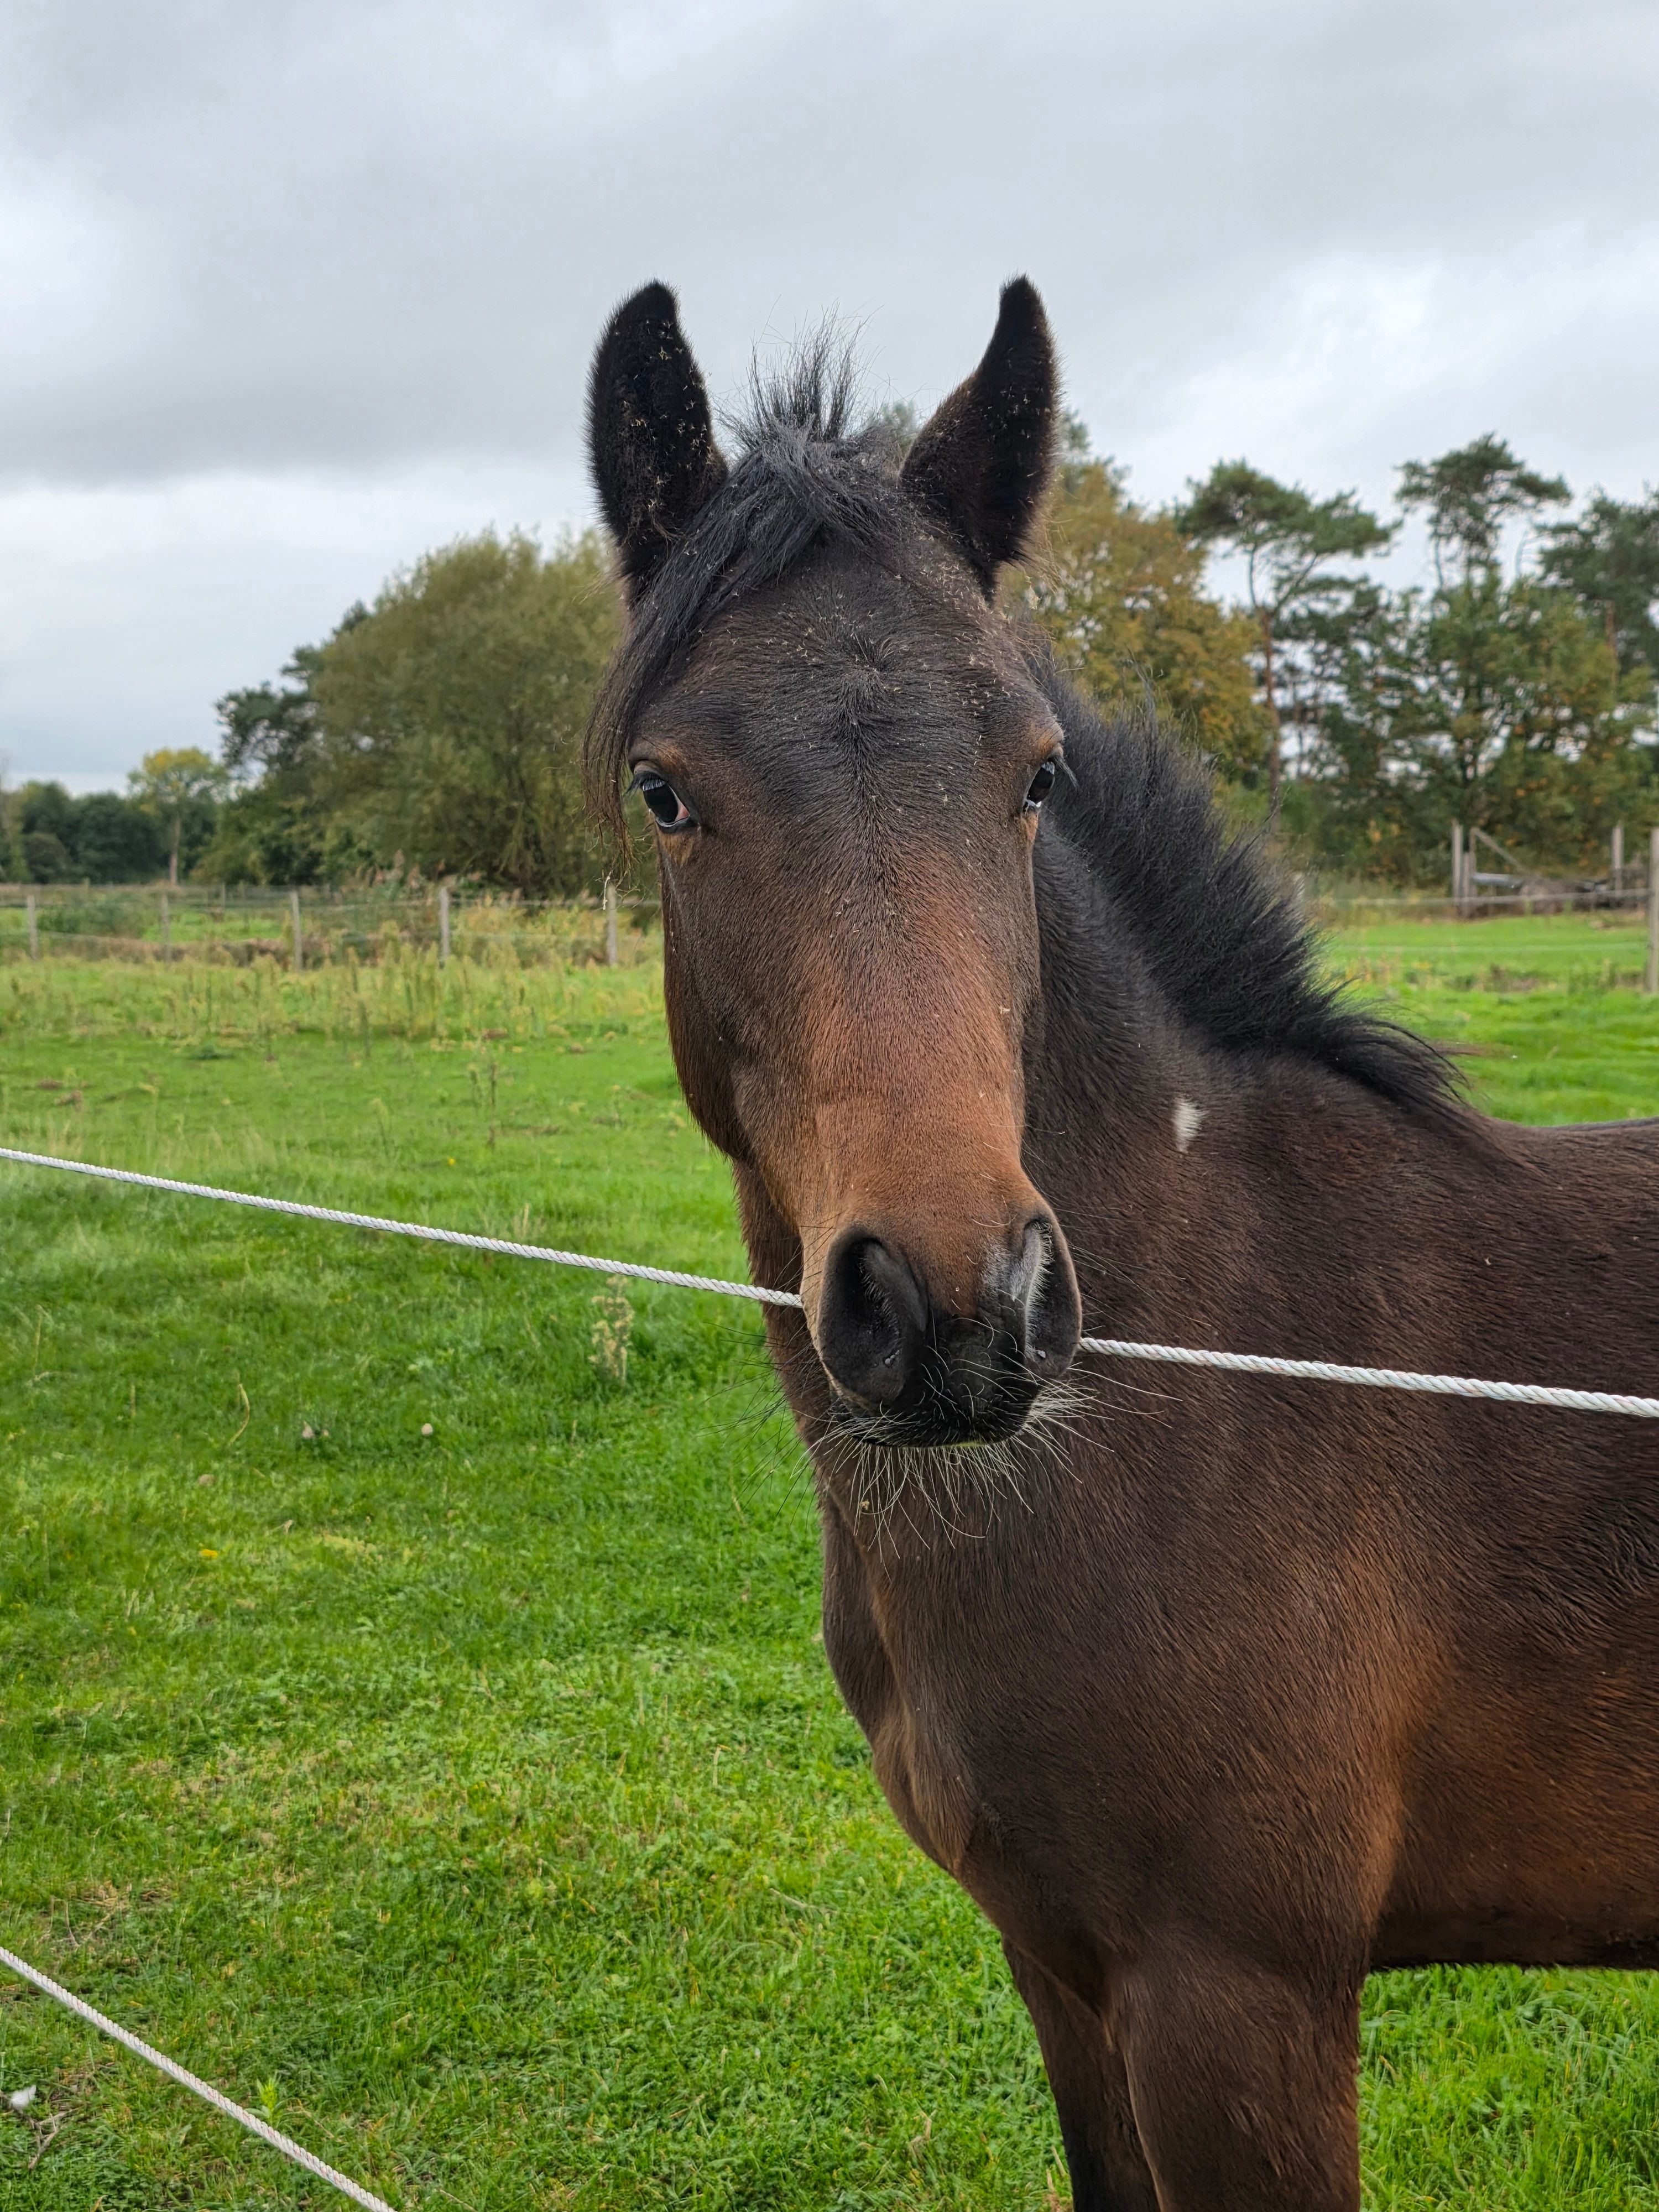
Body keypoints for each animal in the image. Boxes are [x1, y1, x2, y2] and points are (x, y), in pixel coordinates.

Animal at [583, 277, 1659, 2210]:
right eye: (663, 791)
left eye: (1033, 774)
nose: (955, 1307)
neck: (1213, 1375)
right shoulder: (1061, 1970)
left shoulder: (1237, 2000)